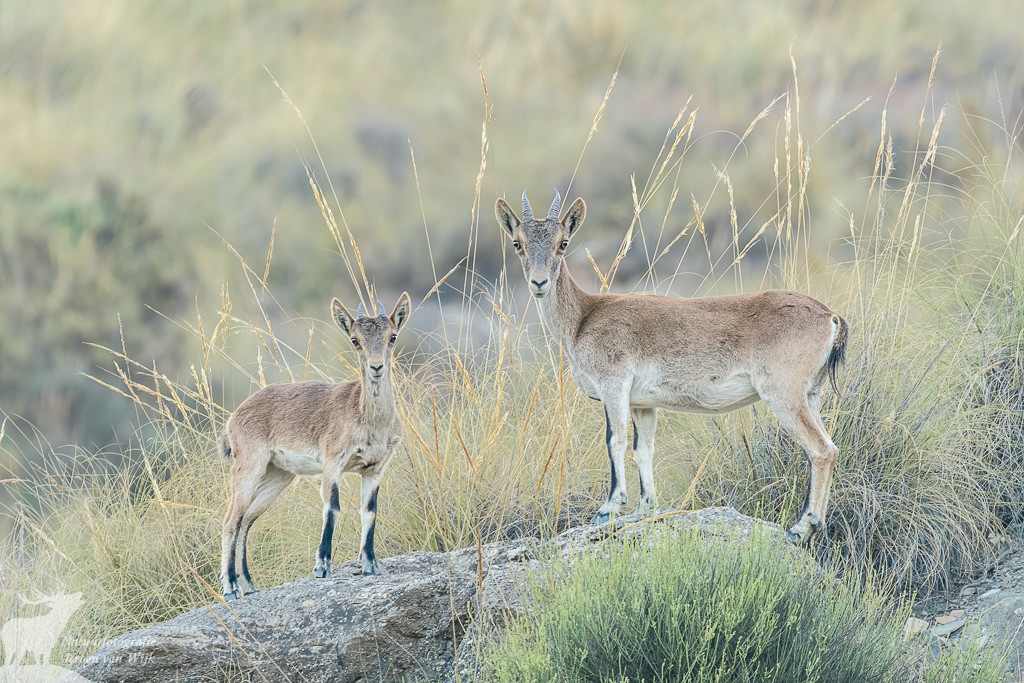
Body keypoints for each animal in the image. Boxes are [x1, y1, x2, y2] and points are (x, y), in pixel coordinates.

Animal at [218, 293, 411, 600]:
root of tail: (233, 418)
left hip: (278, 476)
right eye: (355, 339)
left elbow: (369, 512)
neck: (367, 419)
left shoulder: (374, 469)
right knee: (230, 522)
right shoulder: (333, 462)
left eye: (392, 336)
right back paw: (231, 588)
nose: (376, 367)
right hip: (249, 466)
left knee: (247, 520)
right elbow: (332, 507)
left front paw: (370, 565)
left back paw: (248, 584)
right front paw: (322, 567)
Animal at [495, 190, 848, 544]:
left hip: (782, 392)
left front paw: (608, 508)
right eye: (517, 243)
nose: (538, 282)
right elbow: (643, 449)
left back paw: (802, 527)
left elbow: (615, 439)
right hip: (810, 395)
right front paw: (645, 508)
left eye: (563, 242)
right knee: (828, 447)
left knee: (821, 450)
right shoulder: (643, 404)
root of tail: (830, 318)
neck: (584, 318)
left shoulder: (614, 385)